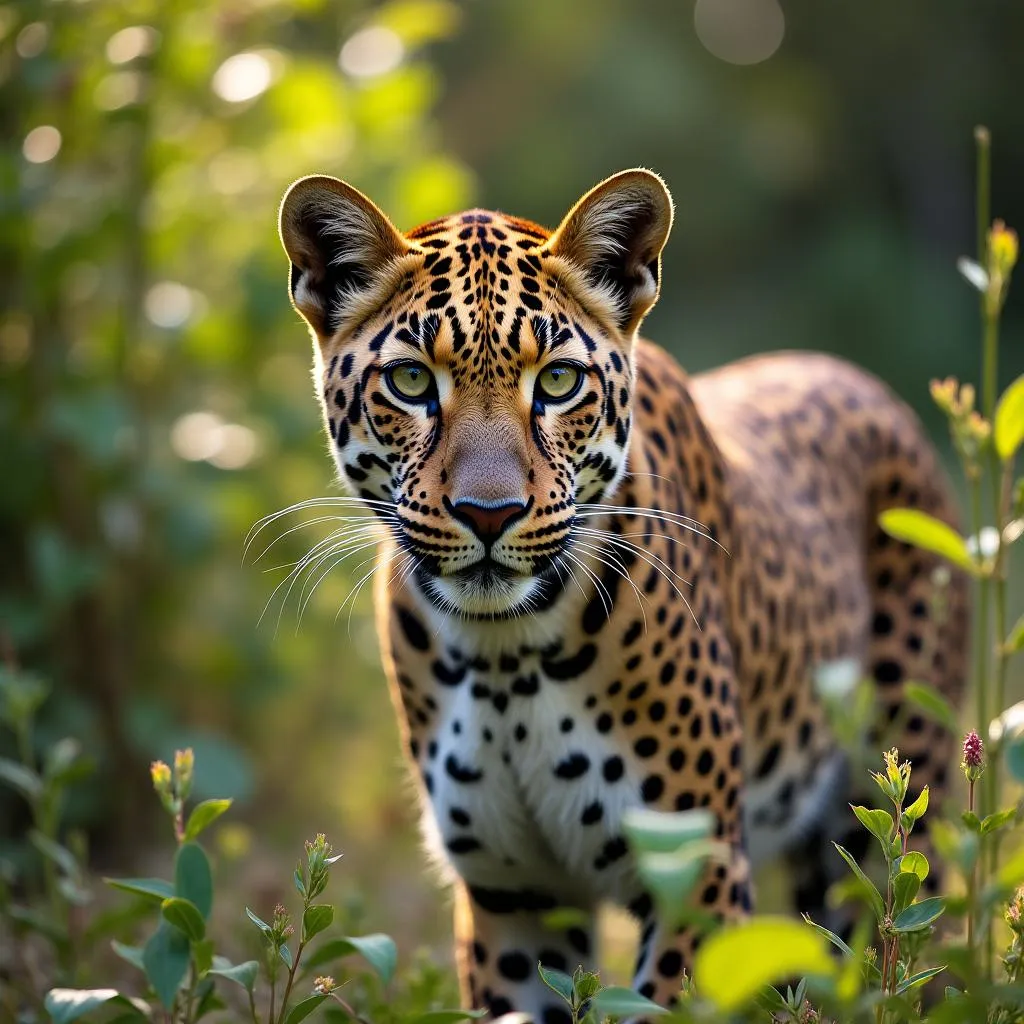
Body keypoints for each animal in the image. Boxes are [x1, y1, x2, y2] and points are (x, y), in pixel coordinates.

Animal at [278, 167, 966, 1015]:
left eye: (558, 381)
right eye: (410, 381)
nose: (488, 513)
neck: (505, 655)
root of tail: (861, 378)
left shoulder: (693, 875)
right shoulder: (511, 895)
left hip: (892, 823)